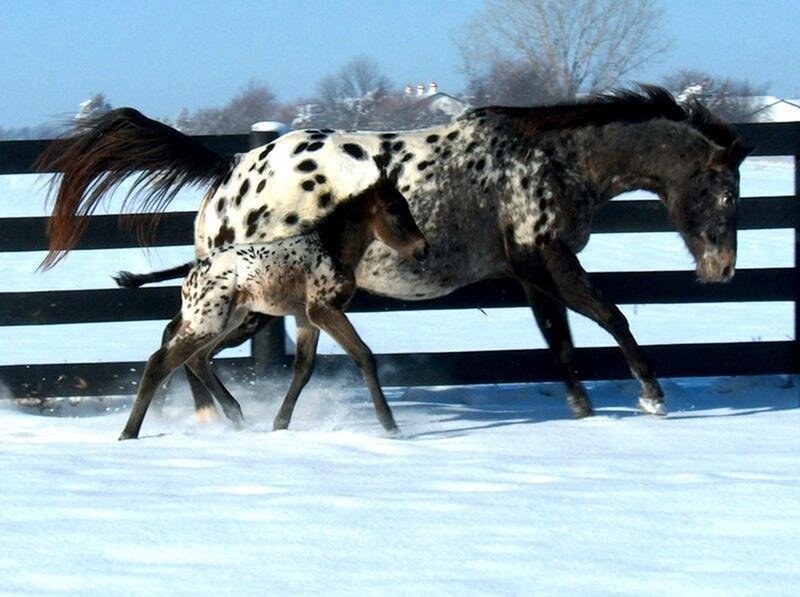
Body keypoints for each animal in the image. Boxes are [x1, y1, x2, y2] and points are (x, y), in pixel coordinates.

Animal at [118, 174, 429, 440]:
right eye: (395, 212)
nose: (423, 250)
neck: (331, 248)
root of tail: (195, 267)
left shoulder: (306, 318)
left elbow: (303, 368)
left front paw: (279, 424)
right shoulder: (324, 309)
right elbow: (363, 355)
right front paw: (390, 425)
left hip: (229, 319)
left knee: (196, 359)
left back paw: (237, 417)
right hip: (210, 320)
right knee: (161, 361)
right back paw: (129, 433)